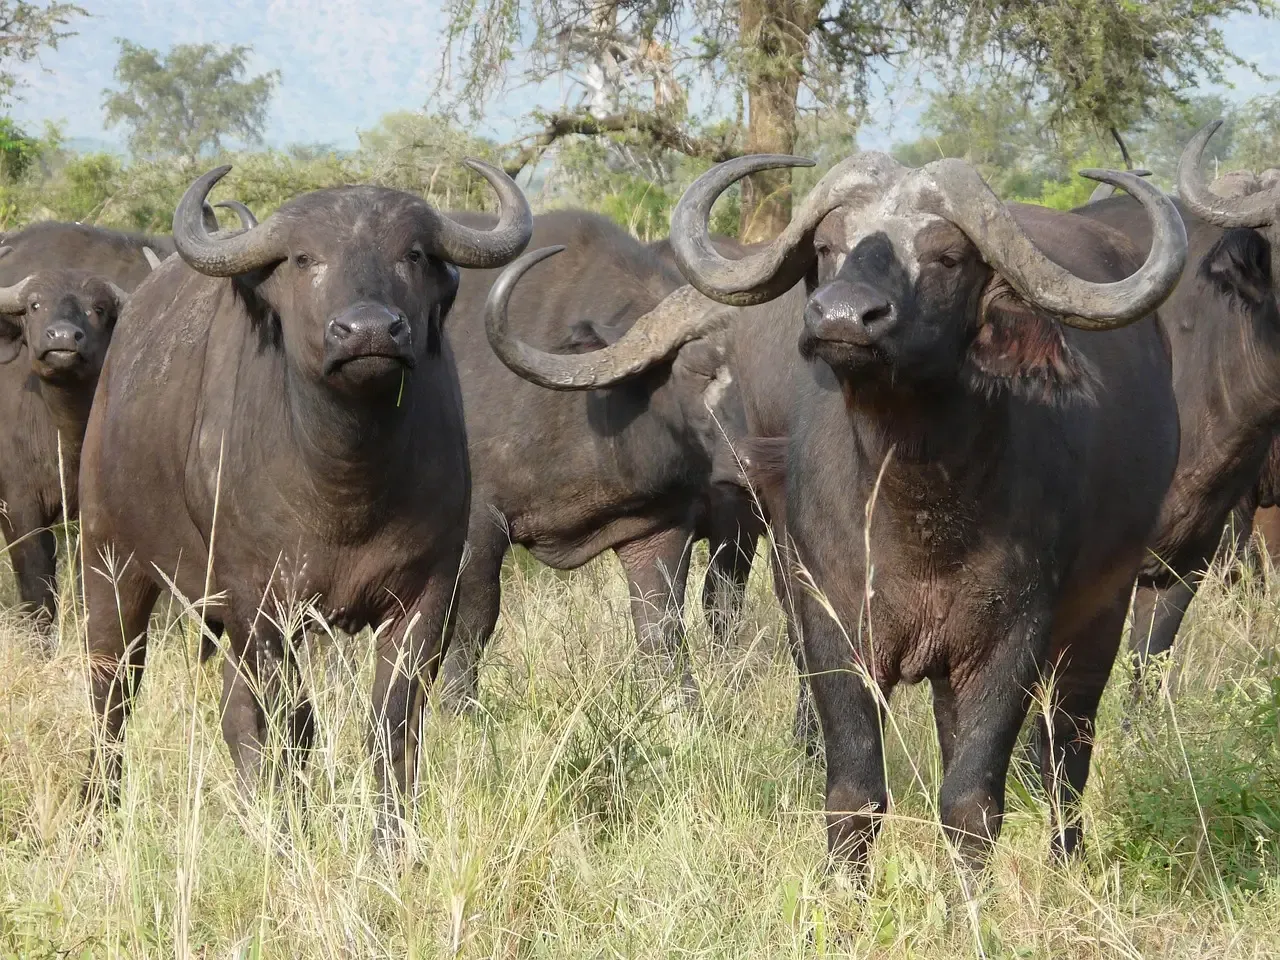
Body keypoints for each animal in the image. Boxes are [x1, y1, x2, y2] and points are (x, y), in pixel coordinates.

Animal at [78, 162, 532, 845]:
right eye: (303, 257)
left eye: (413, 253)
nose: (368, 330)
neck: (345, 484)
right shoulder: (261, 604)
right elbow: (296, 724)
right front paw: (298, 825)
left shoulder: (426, 595)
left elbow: (393, 721)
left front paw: (391, 840)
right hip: (111, 564)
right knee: (113, 693)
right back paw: (99, 814)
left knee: (234, 712)